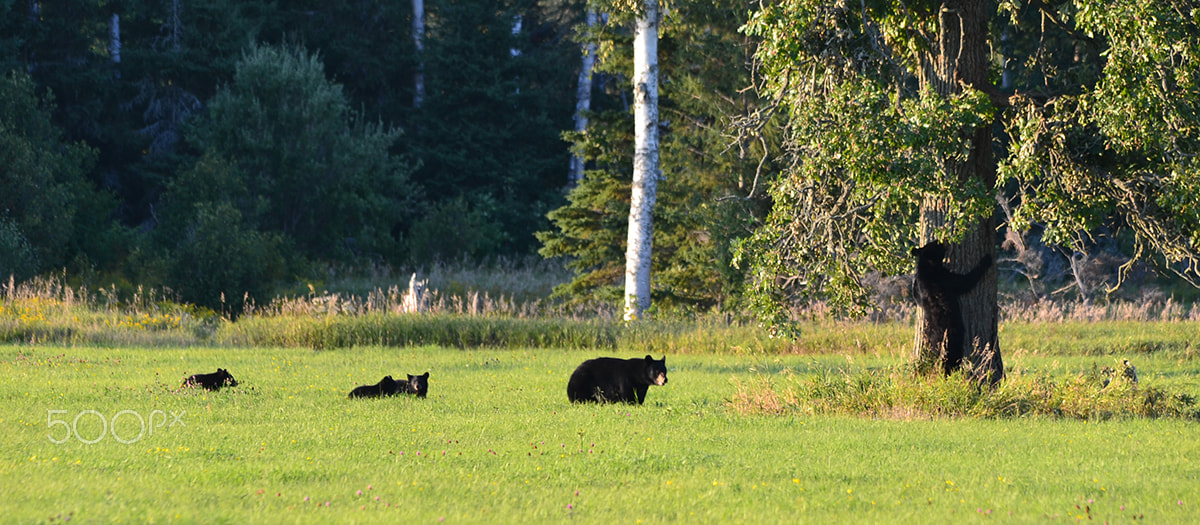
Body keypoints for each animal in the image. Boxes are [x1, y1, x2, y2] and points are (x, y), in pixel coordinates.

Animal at [911, 241, 992, 376]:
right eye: (937, 244)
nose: (942, 240)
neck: (927, 267)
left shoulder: (919, 287)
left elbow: (916, 295)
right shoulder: (945, 278)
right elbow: (965, 281)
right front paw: (986, 259)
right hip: (953, 338)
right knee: (953, 356)